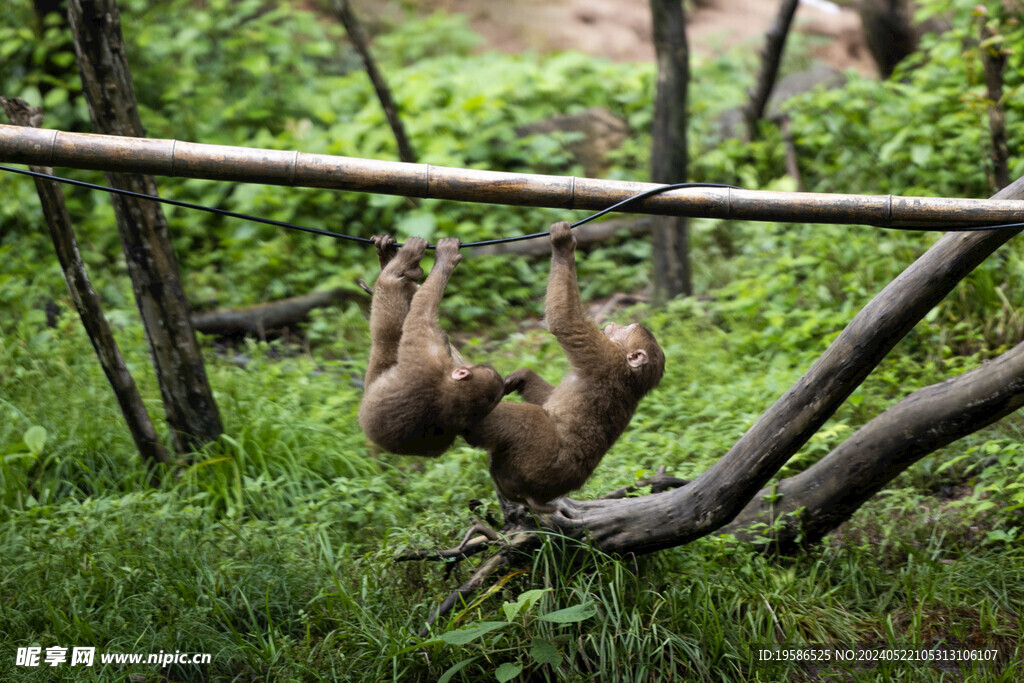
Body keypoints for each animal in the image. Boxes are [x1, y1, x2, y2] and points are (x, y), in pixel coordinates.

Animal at [358, 236, 505, 458]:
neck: (446, 389)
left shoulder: (428, 353)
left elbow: (421, 308)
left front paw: (445, 259)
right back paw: (393, 260)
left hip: (376, 367)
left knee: (389, 296)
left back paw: (397, 266)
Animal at [464, 223, 663, 511]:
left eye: (627, 328)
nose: (612, 323)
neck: (630, 377)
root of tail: (533, 495)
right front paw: (522, 377)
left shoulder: (604, 355)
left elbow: (564, 321)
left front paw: (563, 245)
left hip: (535, 461)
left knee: (532, 419)